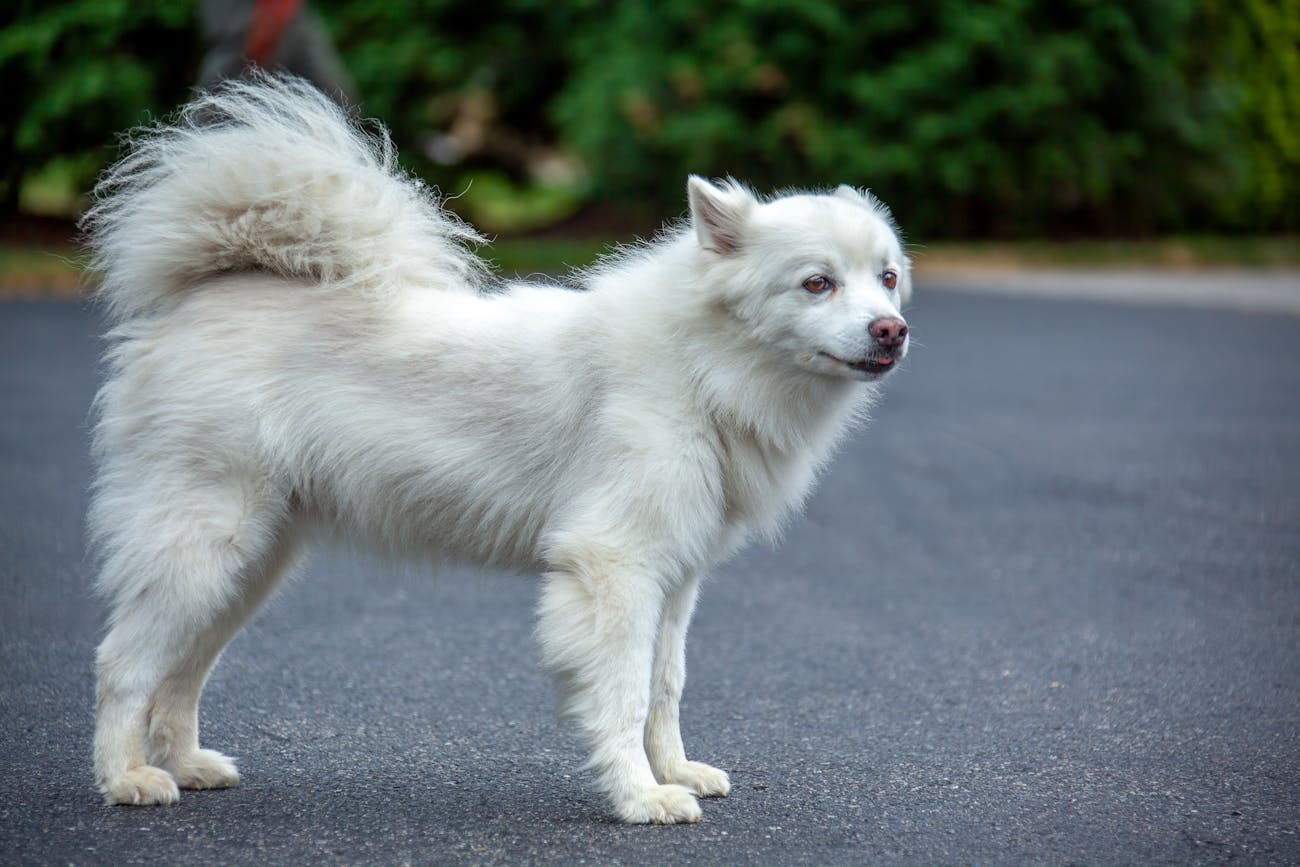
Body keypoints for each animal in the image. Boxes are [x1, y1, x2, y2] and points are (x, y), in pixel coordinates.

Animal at [83, 76, 915, 826]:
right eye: (816, 283)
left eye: (887, 279)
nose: (892, 331)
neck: (700, 365)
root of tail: (207, 295)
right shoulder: (613, 569)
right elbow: (622, 693)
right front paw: (640, 797)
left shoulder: (674, 581)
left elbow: (665, 686)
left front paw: (674, 769)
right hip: (204, 547)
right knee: (122, 663)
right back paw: (128, 776)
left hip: (250, 565)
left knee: (181, 670)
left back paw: (186, 762)